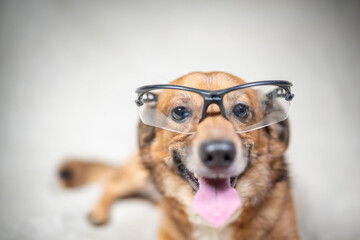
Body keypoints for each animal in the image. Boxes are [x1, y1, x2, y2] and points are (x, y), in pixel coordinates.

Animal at [59, 71, 300, 240]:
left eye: (241, 109)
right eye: (179, 112)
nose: (219, 153)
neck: (214, 222)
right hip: (136, 176)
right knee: (111, 182)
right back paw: (98, 211)